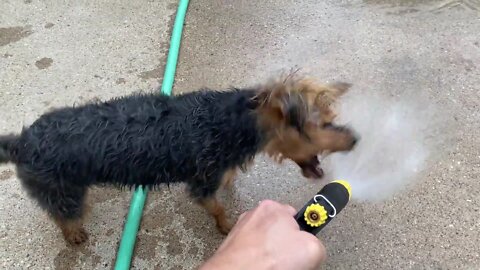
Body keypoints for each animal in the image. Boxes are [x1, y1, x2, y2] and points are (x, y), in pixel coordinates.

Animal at [0, 73, 356, 245]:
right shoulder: (202, 182)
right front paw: (227, 226)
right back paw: (73, 232)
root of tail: (22, 142)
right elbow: (217, 207)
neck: (231, 122)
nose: (355, 139)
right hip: (62, 189)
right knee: (62, 214)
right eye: (321, 125)